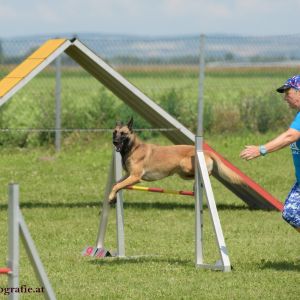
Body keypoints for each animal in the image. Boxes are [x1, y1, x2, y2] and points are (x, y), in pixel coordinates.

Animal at [109, 118, 245, 204]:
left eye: (123, 133)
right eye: (114, 132)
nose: (114, 142)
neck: (133, 148)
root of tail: (206, 151)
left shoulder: (135, 177)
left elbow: (118, 185)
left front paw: (111, 197)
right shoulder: (128, 175)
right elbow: (116, 184)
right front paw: (113, 197)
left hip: (184, 166)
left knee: (206, 173)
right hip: (182, 173)